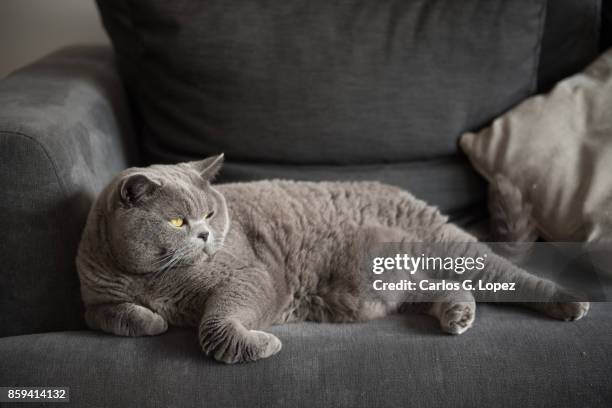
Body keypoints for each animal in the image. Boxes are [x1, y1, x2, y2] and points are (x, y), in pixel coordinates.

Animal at [76, 155, 588, 364]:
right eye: (177, 221)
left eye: (209, 214)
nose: (204, 234)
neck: (154, 281)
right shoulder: (94, 300)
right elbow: (112, 316)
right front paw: (153, 320)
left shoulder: (250, 276)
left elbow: (215, 323)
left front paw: (260, 343)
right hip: (394, 279)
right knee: (444, 289)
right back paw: (457, 315)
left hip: (451, 249)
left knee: (518, 278)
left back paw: (571, 302)